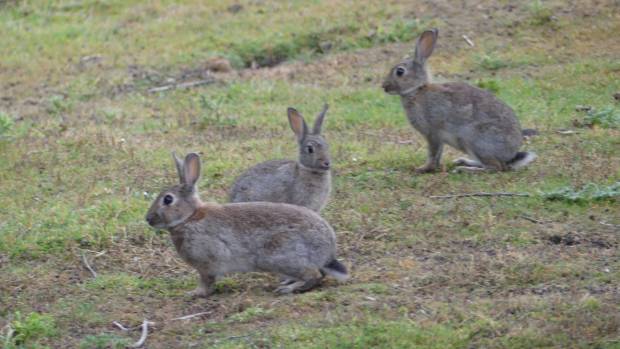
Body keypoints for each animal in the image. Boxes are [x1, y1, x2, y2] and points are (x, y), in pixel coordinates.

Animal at [145, 150, 348, 296]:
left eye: (168, 199)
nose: (148, 219)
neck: (190, 217)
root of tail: (328, 250)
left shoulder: (207, 262)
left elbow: (206, 281)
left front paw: (195, 293)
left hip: (279, 256)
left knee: (314, 275)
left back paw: (287, 289)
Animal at [380, 27, 536, 172]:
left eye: (400, 72)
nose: (384, 86)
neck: (417, 90)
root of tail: (510, 154)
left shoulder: (433, 133)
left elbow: (433, 153)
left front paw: (423, 168)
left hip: (474, 140)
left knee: (495, 167)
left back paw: (465, 169)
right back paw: (462, 161)